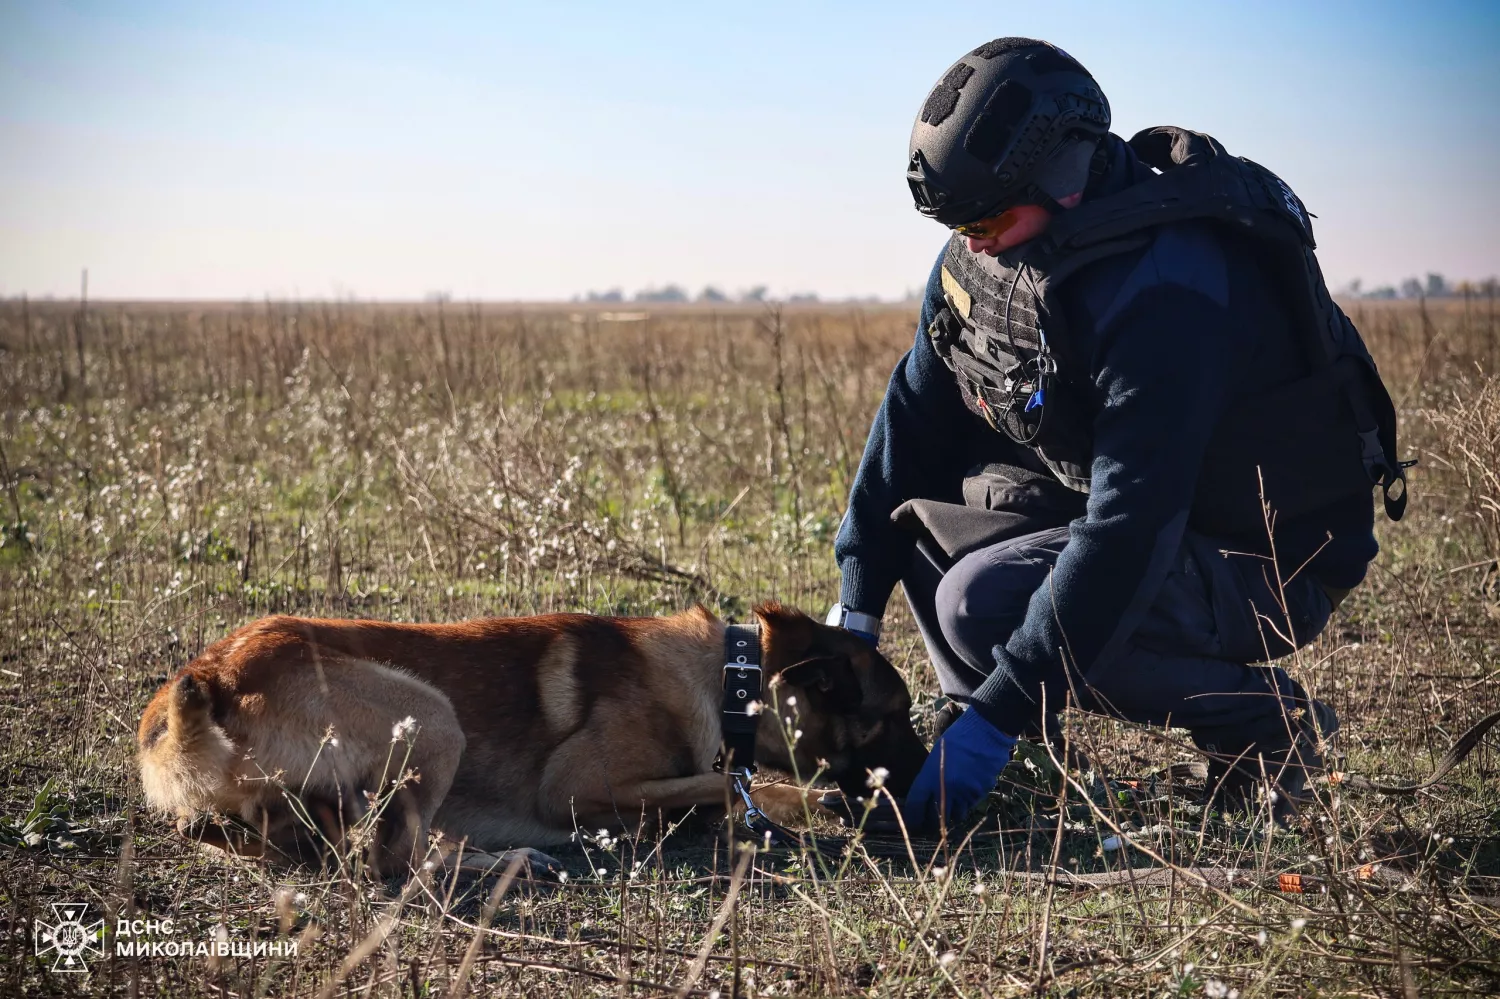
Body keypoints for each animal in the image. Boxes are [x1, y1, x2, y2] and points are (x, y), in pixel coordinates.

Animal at [138, 600, 924, 870]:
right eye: (894, 716)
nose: (925, 778)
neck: (724, 678)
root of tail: (208, 676)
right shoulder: (572, 787)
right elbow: (733, 783)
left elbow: (727, 785)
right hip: (433, 714)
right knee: (393, 860)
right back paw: (513, 858)